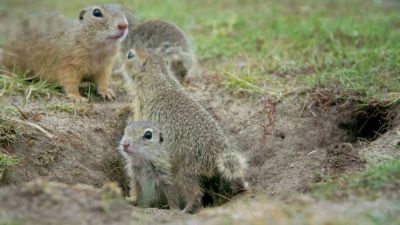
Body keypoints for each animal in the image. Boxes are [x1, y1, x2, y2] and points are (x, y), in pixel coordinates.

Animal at [122, 48, 248, 214]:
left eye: (130, 54)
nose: (126, 52)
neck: (159, 79)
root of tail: (219, 151)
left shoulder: (141, 108)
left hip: (185, 169)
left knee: (196, 193)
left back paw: (185, 210)